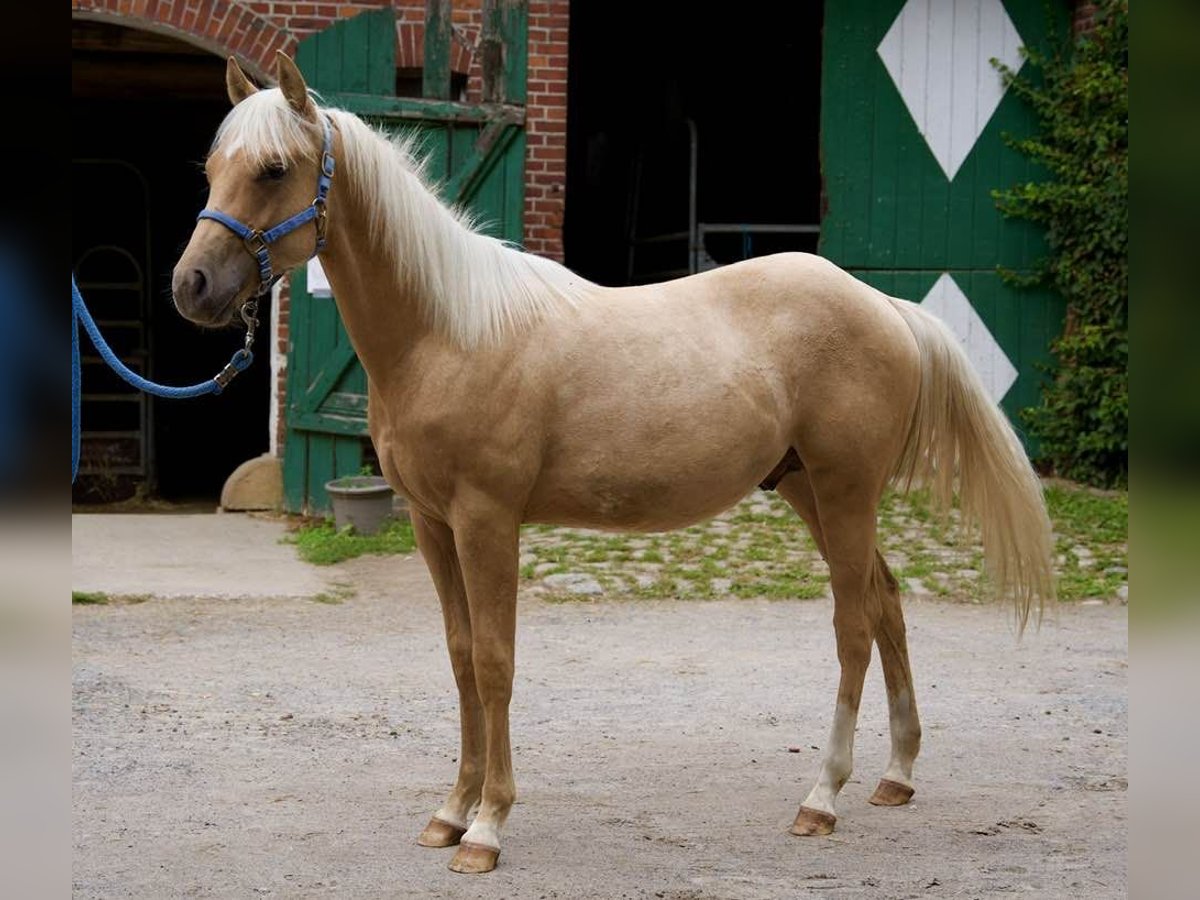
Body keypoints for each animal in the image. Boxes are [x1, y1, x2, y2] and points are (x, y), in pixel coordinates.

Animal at [171, 53, 1055, 875]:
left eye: (273, 169)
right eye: (212, 168)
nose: (192, 285)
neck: (447, 332)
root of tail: (889, 307)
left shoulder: (487, 521)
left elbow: (495, 663)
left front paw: (487, 829)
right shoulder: (430, 523)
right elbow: (460, 660)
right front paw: (450, 813)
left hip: (844, 493)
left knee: (854, 628)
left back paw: (822, 798)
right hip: (810, 489)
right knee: (887, 603)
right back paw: (896, 775)